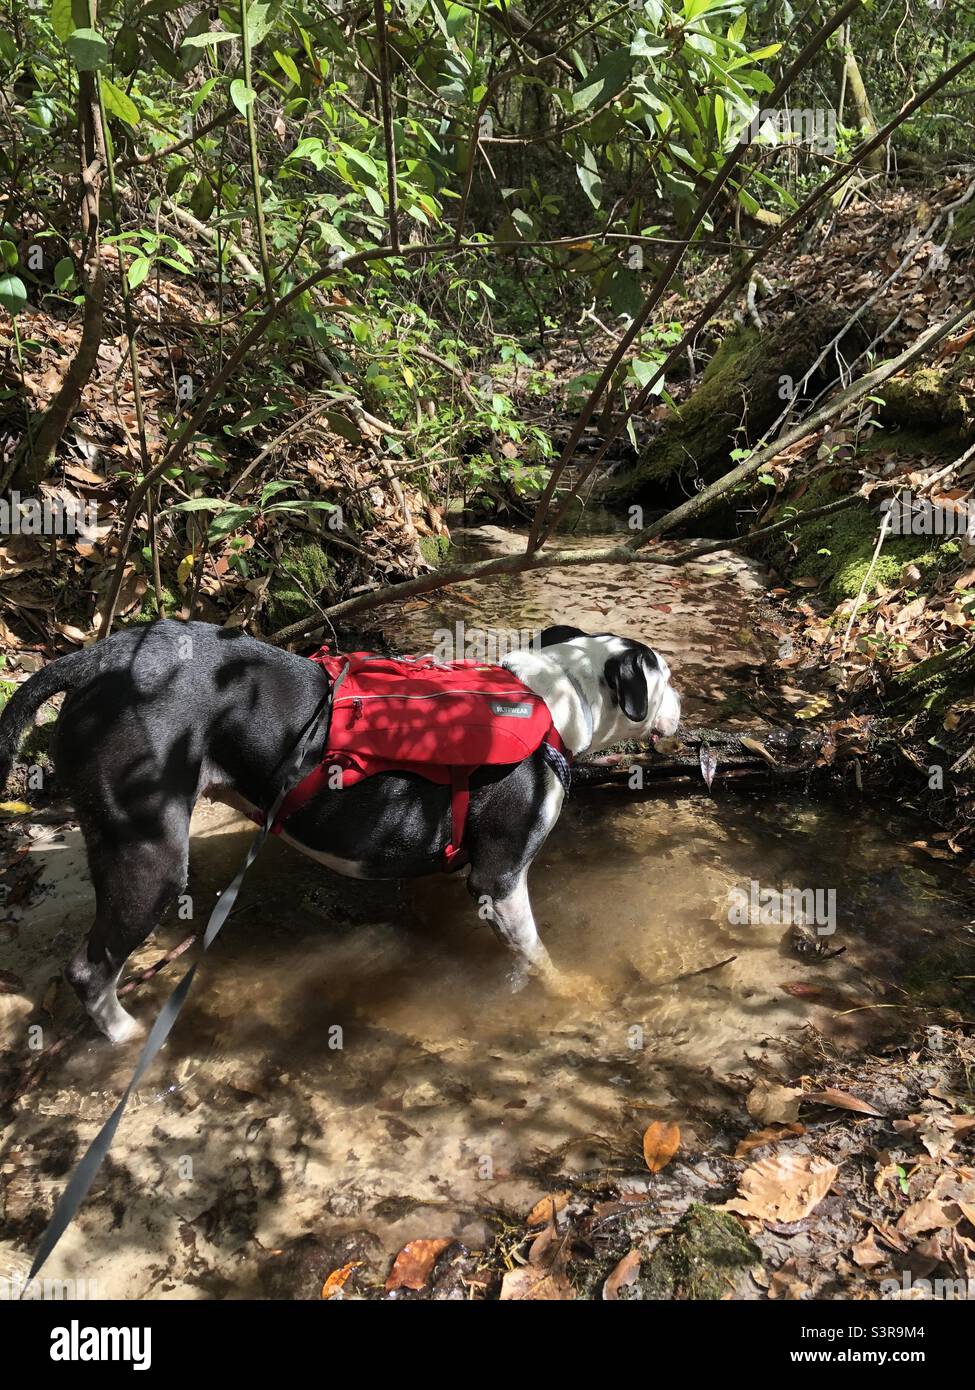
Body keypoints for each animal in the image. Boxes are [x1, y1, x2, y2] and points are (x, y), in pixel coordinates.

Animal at [0, 625, 675, 1039]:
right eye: (665, 677)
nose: (683, 701)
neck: (559, 698)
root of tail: (97, 658)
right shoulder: (502, 875)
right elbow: (535, 953)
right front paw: (567, 992)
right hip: (151, 858)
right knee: (90, 969)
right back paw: (126, 1034)